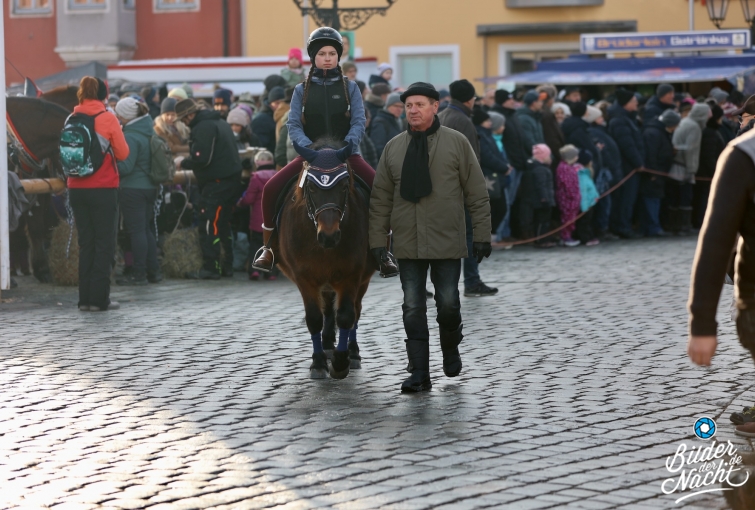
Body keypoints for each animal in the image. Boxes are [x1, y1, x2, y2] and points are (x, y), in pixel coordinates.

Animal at [273, 140, 376, 379]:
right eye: (311, 188)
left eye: (344, 186)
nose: (329, 235)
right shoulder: (305, 277)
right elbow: (314, 318)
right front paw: (318, 362)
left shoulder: (352, 275)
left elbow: (346, 315)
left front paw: (341, 362)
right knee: (328, 310)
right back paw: (328, 345)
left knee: (354, 311)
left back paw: (352, 353)